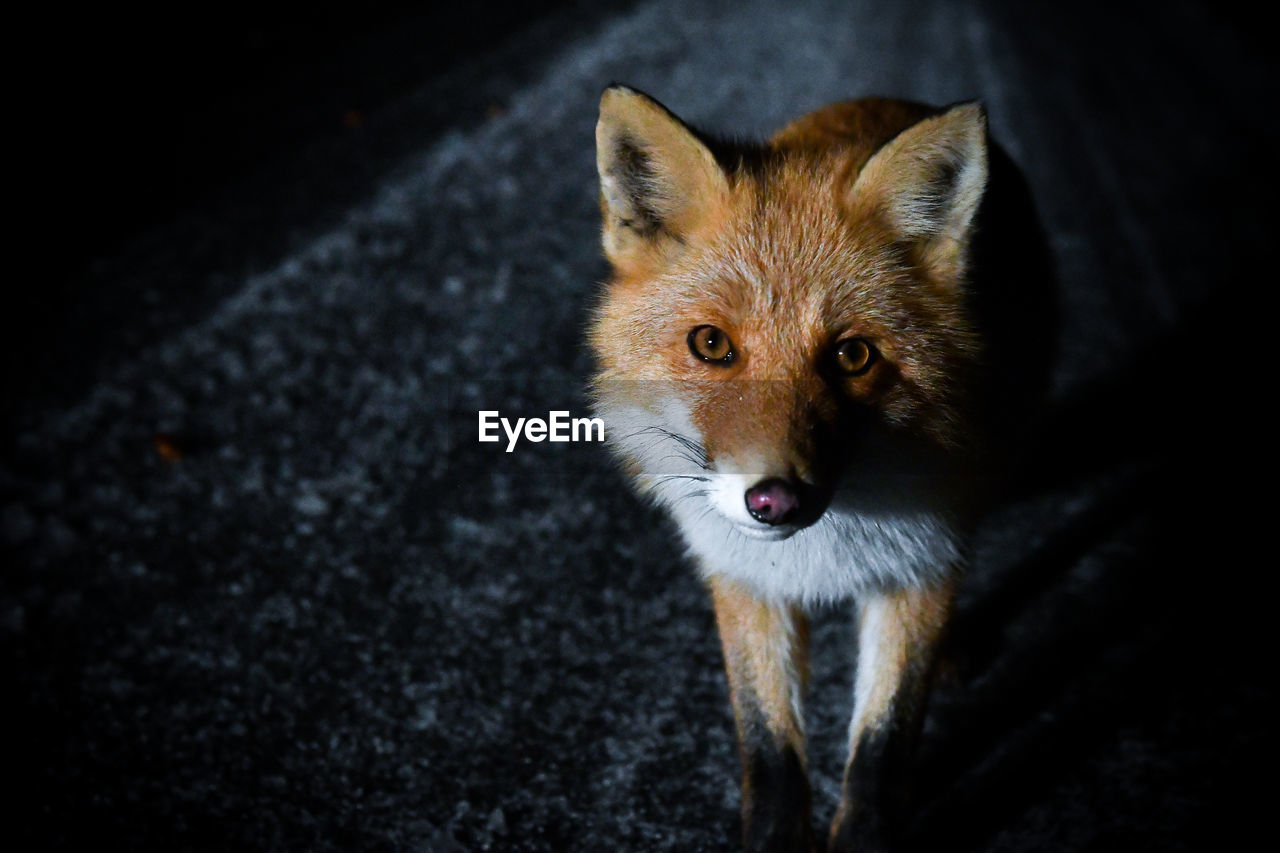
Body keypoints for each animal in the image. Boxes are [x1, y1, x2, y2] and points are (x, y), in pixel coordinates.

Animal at [588, 83, 1049, 845]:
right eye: (711, 344)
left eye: (852, 355)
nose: (774, 499)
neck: (825, 554)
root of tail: (887, 98)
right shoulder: (743, 577)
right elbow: (769, 748)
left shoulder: (918, 568)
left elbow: (883, 748)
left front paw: (865, 834)